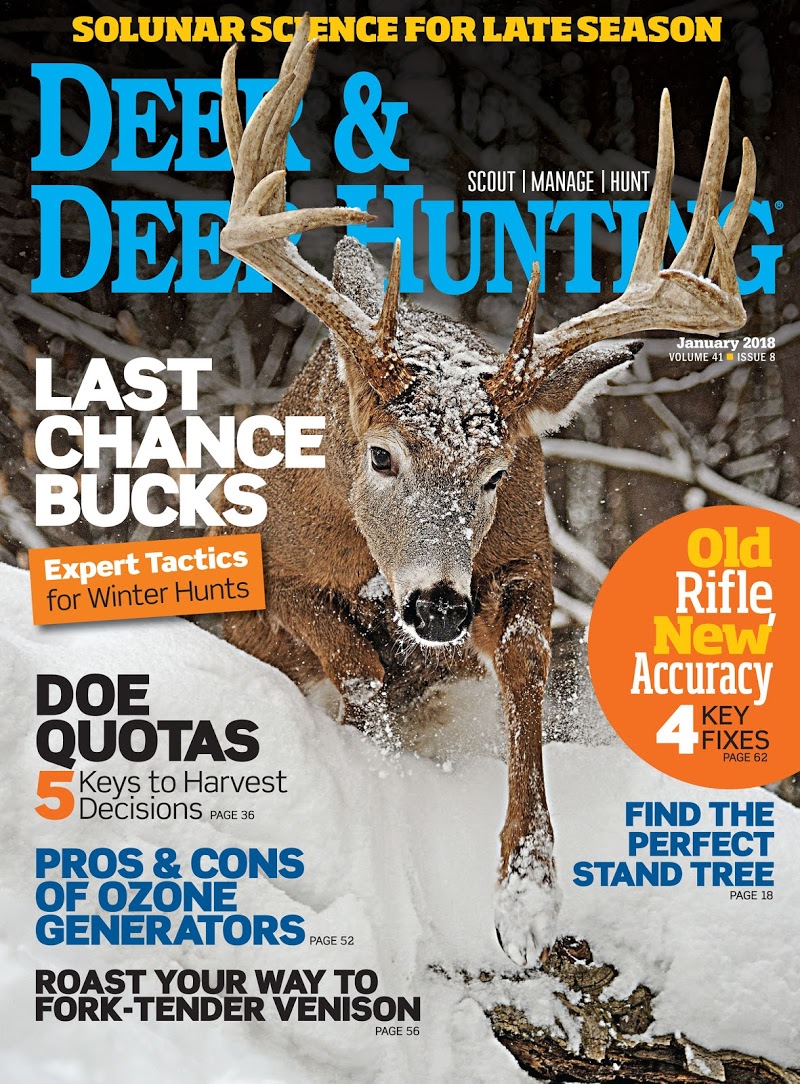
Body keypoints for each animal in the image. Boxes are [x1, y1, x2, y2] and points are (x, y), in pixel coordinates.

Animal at [216, 16, 756, 966]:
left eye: (497, 473)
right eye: (381, 456)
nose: (437, 604)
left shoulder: (525, 558)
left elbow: (525, 661)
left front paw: (527, 900)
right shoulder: (275, 569)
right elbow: (355, 667)